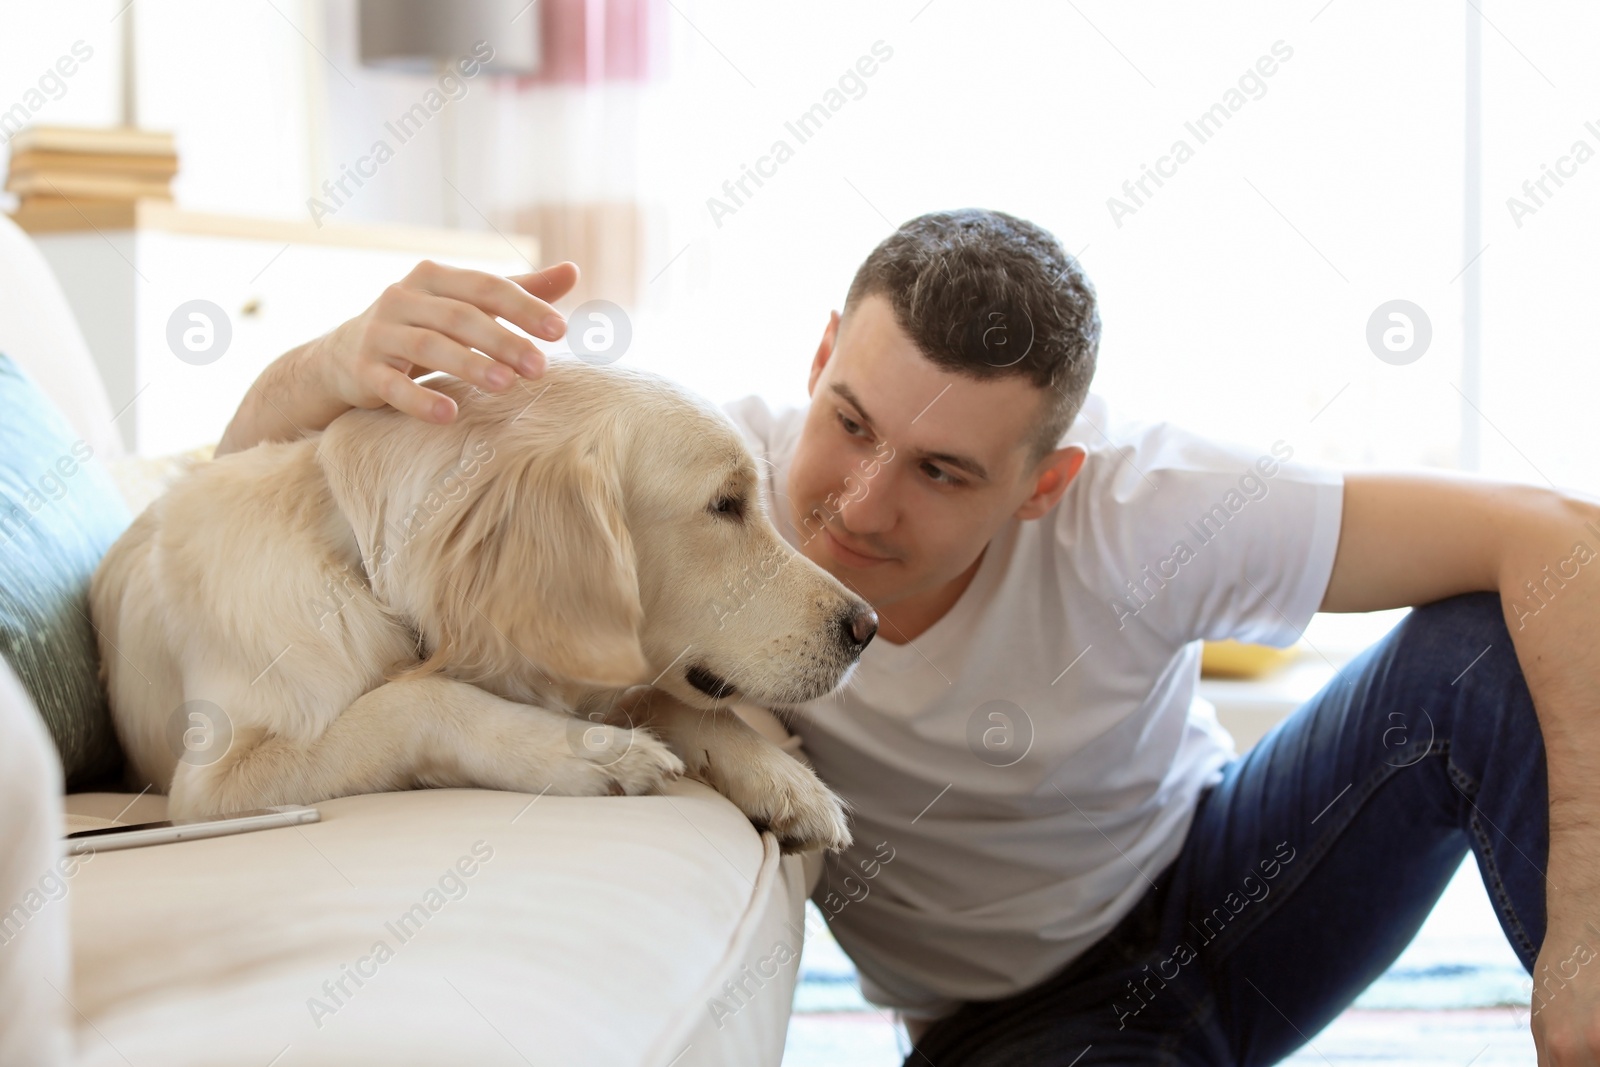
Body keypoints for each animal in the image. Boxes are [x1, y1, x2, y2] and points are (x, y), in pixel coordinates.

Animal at [87, 358, 876, 851]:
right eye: (725, 504)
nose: (868, 628)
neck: (356, 565)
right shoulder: (213, 784)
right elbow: (415, 701)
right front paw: (587, 751)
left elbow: (661, 696)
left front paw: (780, 777)